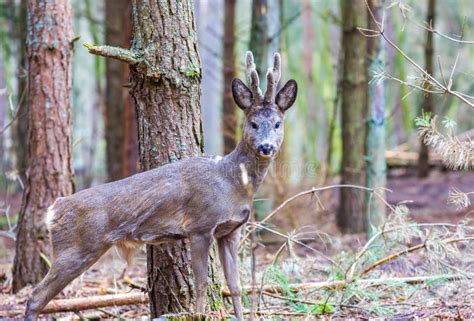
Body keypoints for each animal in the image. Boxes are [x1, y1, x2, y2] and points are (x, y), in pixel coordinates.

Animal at [25, 51, 296, 318]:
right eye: (253, 123)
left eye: (277, 124)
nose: (266, 147)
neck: (231, 183)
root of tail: (55, 209)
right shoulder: (200, 225)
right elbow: (201, 285)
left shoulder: (231, 231)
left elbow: (236, 286)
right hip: (75, 248)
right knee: (35, 296)